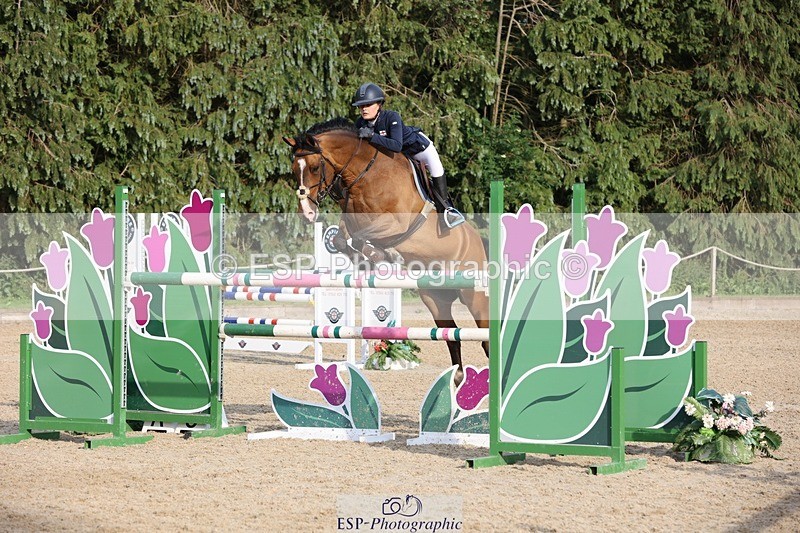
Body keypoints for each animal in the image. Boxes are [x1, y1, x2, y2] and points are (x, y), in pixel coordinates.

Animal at [283, 117, 489, 377]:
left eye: (312, 167)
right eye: (293, 169)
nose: (307, 213)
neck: (366, 174)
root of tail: (477, 242)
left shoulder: (394, 223)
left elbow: (361, 238)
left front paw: (379, 255)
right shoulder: (351, 221)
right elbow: (342, 239)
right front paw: (370, 259)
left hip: (475, 297)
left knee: (485, 338)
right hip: (435, 300)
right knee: (452, 336)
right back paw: (458, 377)